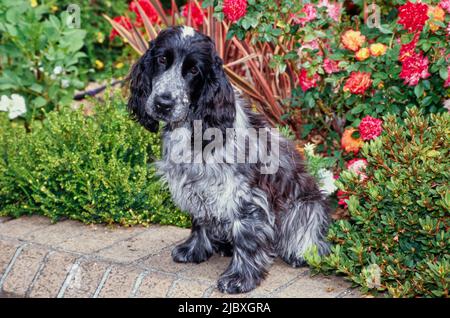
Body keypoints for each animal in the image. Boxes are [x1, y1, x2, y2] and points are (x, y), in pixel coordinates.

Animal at [127, 26, 330, 294]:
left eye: (194, 70)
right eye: (162, 59)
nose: (163, 103)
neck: (193, 129)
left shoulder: (246, 197)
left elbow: (247, 238)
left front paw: (240, 278)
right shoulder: (197, 185)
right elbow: (199, 220)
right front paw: (194, 250)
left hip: (306, 207)